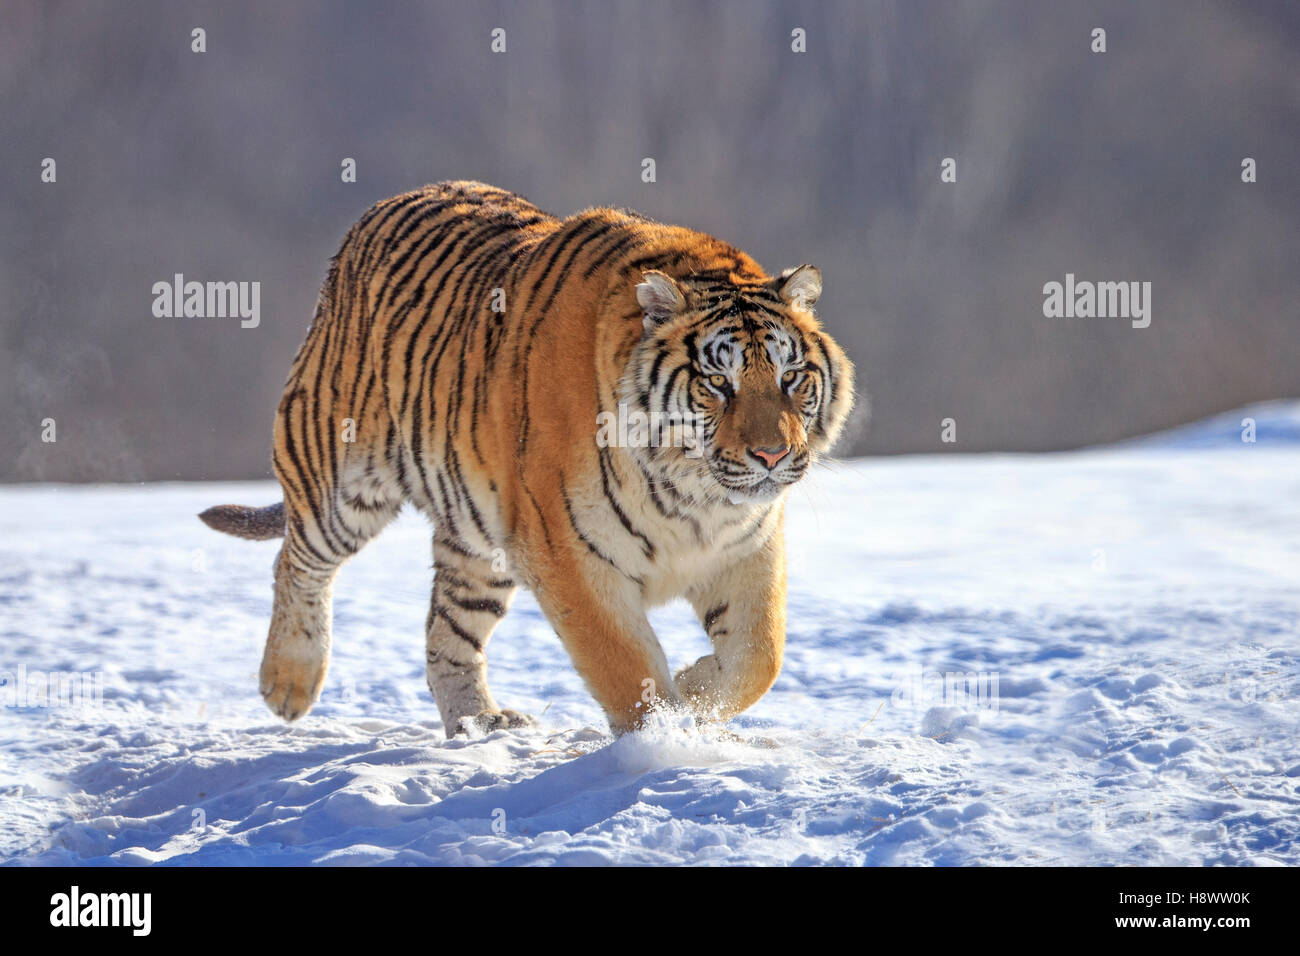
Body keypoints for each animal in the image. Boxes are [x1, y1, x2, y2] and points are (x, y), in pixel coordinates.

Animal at [200, 180, 855, 737]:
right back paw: (289, 684)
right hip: (338, 483)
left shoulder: (745, 546)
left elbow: (759, 655)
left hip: (480, 544)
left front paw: (694, 694)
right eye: (718, 382)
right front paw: (663, 739)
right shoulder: (567, 551)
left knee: (447, 632)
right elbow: (626, 666)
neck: (693, 495)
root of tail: (376, 211)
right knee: (295, 563)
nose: (771, 454)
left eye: (791, 377)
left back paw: (478, 724)